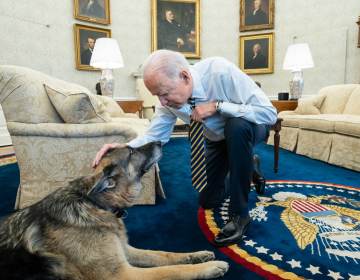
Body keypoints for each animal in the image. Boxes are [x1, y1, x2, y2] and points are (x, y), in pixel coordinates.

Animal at [0, 143, 229, 278]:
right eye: (131, 152)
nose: (160, 141)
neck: (94, 203)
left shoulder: (126, 251)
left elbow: (163, 255)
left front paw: (197, 255)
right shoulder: (123, 274)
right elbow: (171, 270)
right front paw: (209, 268)